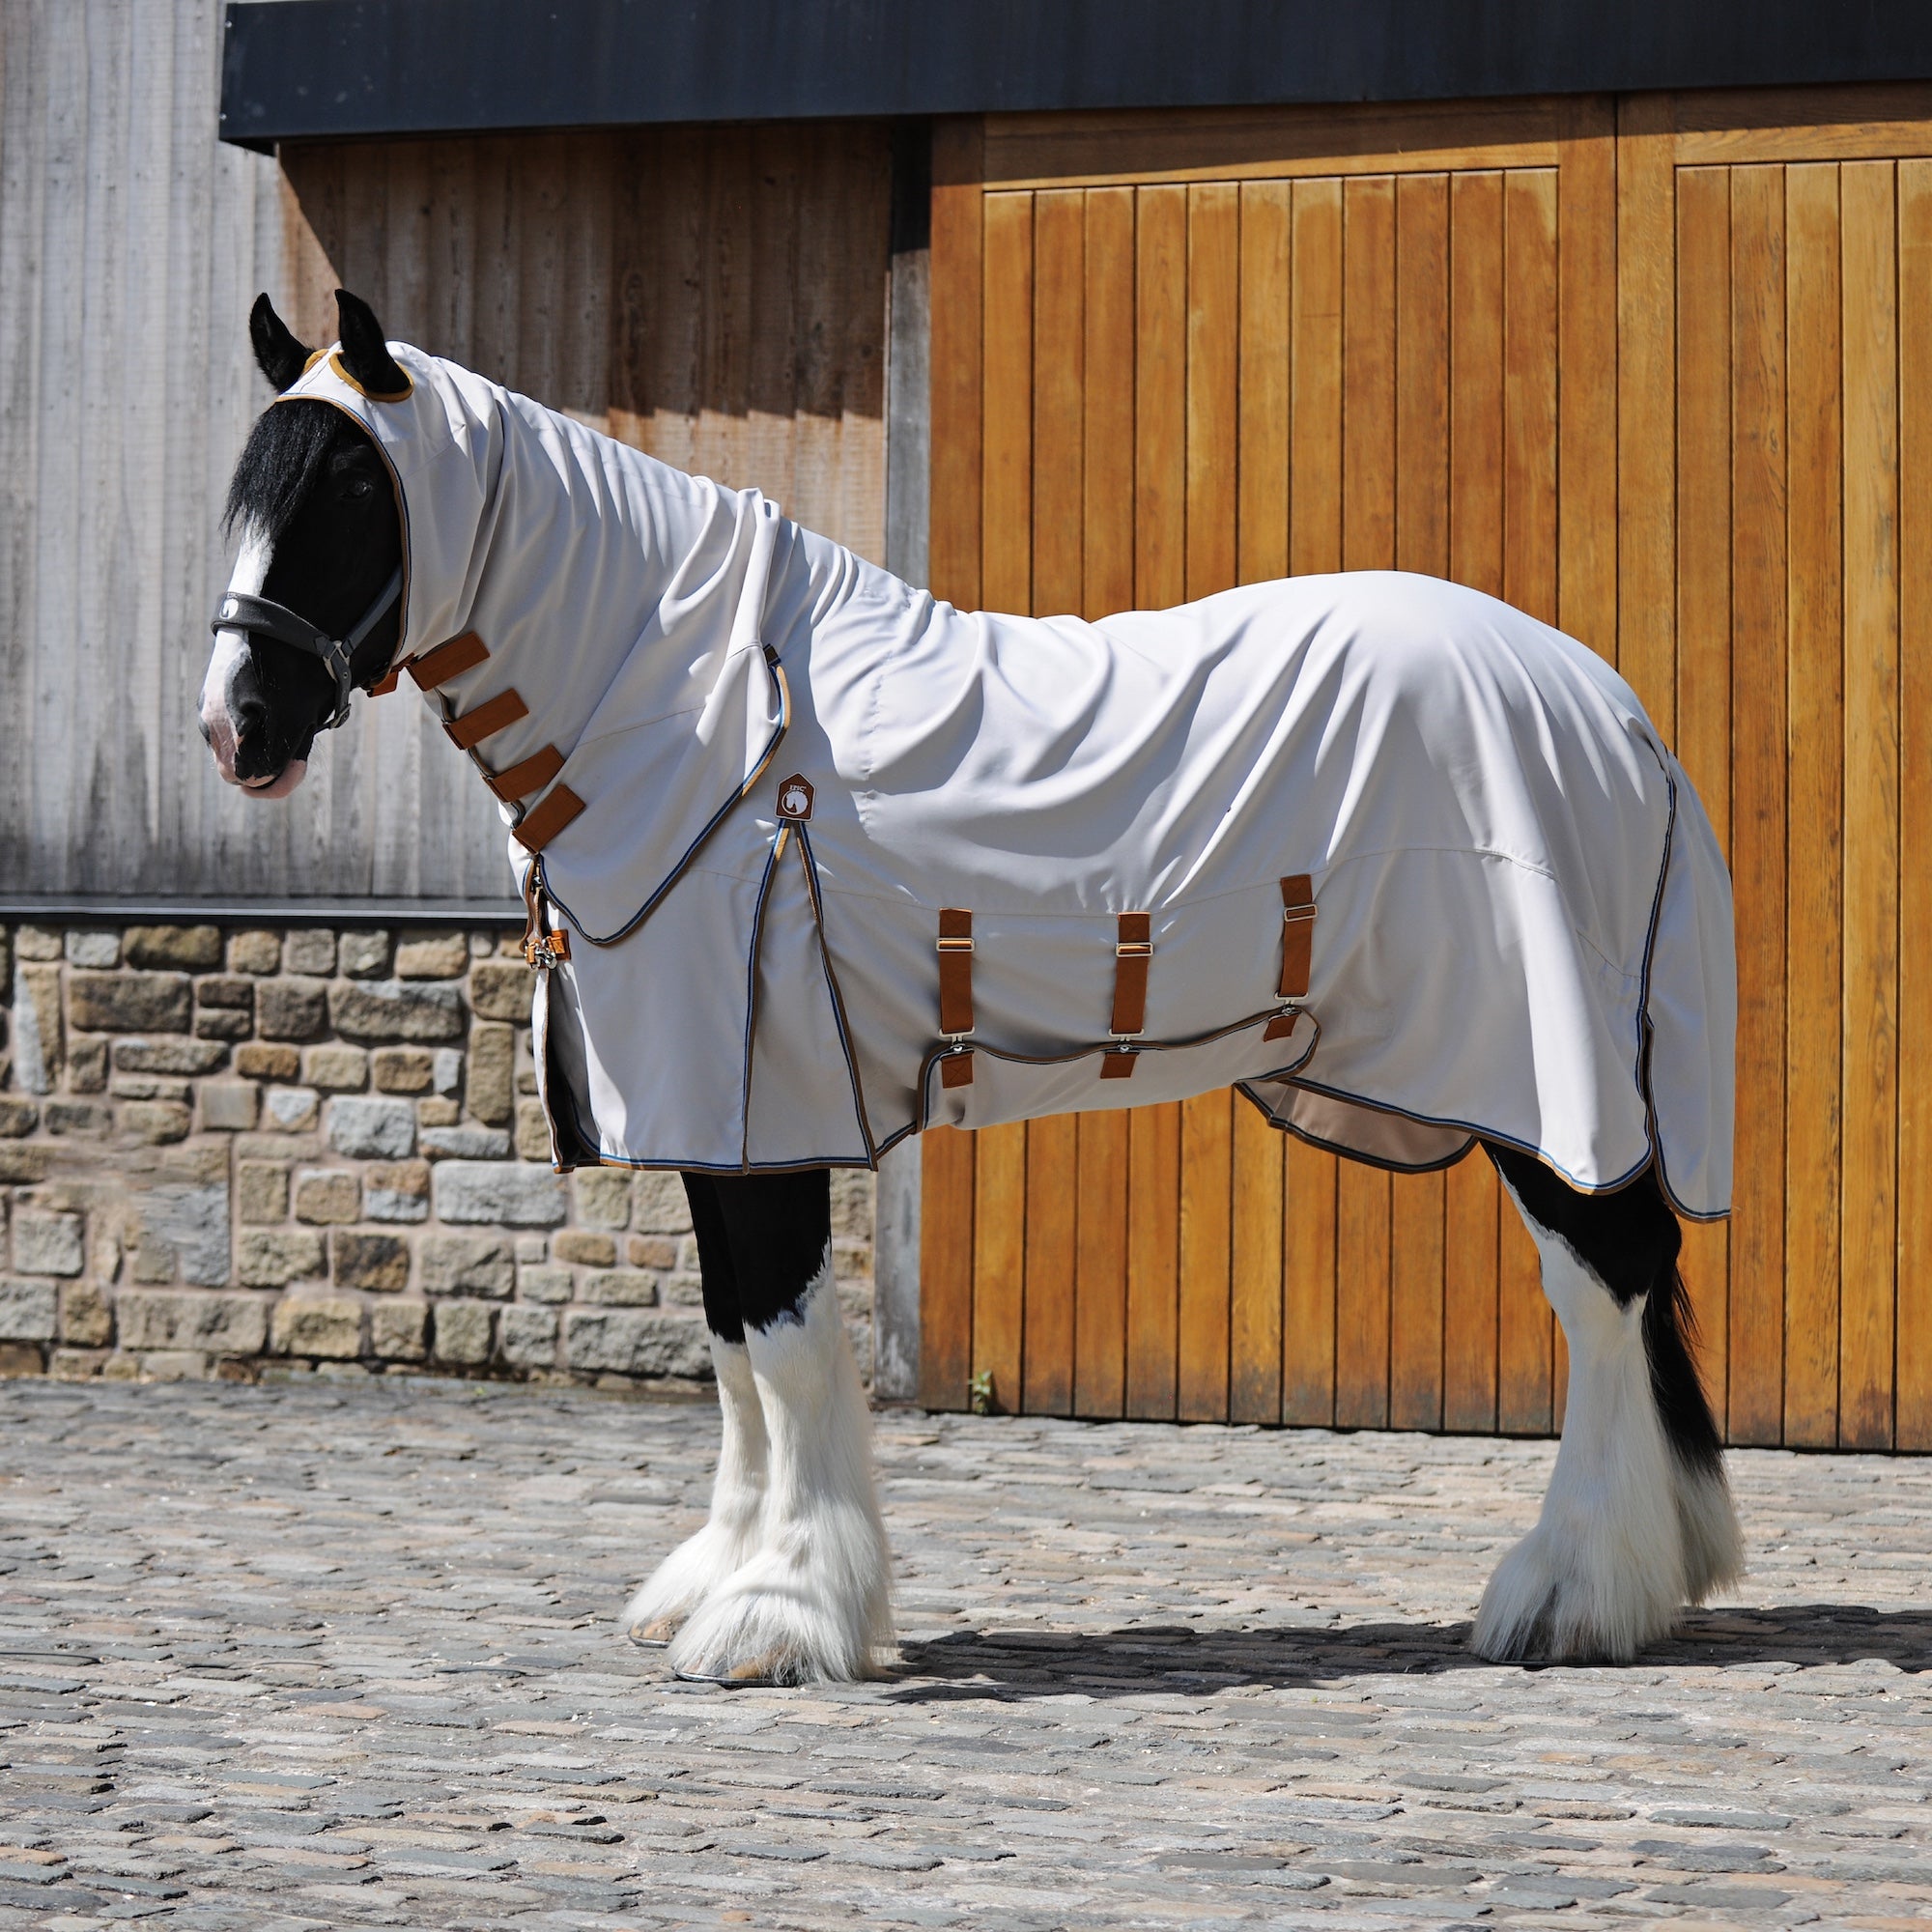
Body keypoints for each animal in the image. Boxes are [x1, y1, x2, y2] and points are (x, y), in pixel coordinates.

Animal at [200, 288, 1743, 1685]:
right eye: (246, 483)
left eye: (348, 486)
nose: (237, 727)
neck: (711, 727)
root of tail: (1614, 716)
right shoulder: (711, 1121)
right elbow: (730, 1347)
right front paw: (720, 1580)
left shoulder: (770, 1110)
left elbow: (782, 1344)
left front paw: (780, 1616)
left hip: (1538, 1090)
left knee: (1606, 1291)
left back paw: (1570, 1594)